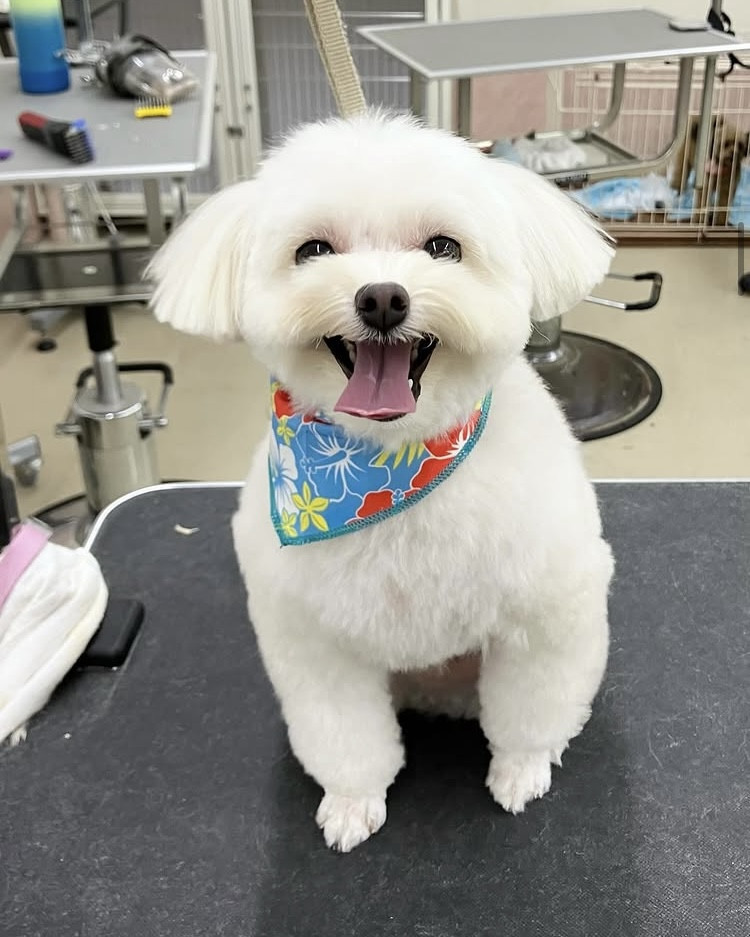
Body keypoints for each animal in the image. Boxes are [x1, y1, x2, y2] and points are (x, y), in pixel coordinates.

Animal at [149, 111, 615, 852]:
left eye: (443, 247)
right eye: (313, 250)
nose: (382, 296)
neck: (390, 465)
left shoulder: (542, 616)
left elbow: (528, 709)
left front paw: (521, 767)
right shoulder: (317, 645)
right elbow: (346, 738)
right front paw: (352, 801)